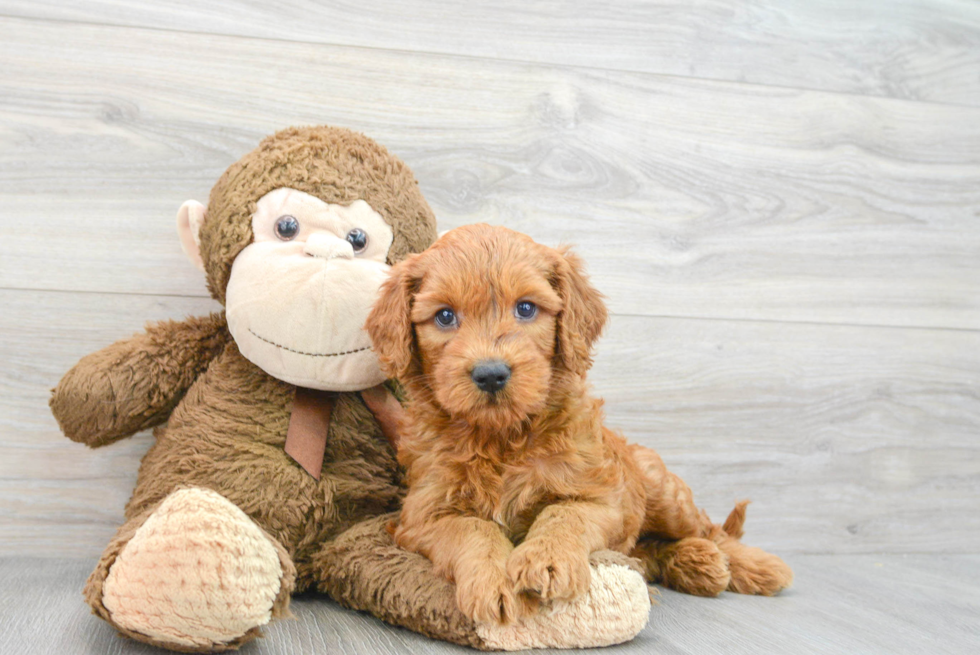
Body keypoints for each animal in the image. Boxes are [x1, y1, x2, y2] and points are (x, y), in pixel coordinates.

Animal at [364, 224, 792, 624]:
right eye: (445, 316)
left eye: (525, 308)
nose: (490, 374)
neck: (501, 438)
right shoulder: (422, 516)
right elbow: (473, 529)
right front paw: (494, 579)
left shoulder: (600, 496)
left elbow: (563, 514)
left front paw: (546, 561)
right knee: (649, 552)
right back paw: (697, 563)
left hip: (666, 493)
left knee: (708, 529)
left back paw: (754, 566)